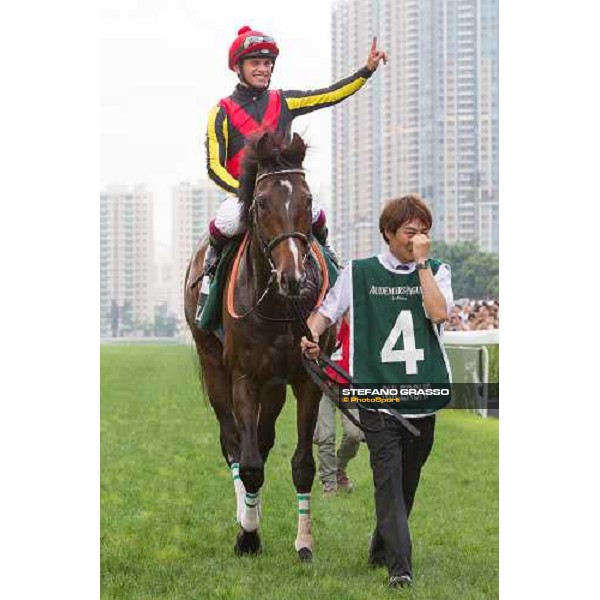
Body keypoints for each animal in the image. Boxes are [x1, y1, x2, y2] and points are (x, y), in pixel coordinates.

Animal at [184, 130, 332, 556]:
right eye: (262, 202)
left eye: (308, 201)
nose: (293, 277)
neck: (279, 306)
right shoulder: (244, 377)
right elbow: (248, 464)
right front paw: (247, 535)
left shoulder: (305, 379)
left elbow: (302, 464)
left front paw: (304, 543)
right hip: (213, 365)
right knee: (234, 443)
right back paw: (244, 512)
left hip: (275, 385)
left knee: (262, 441)